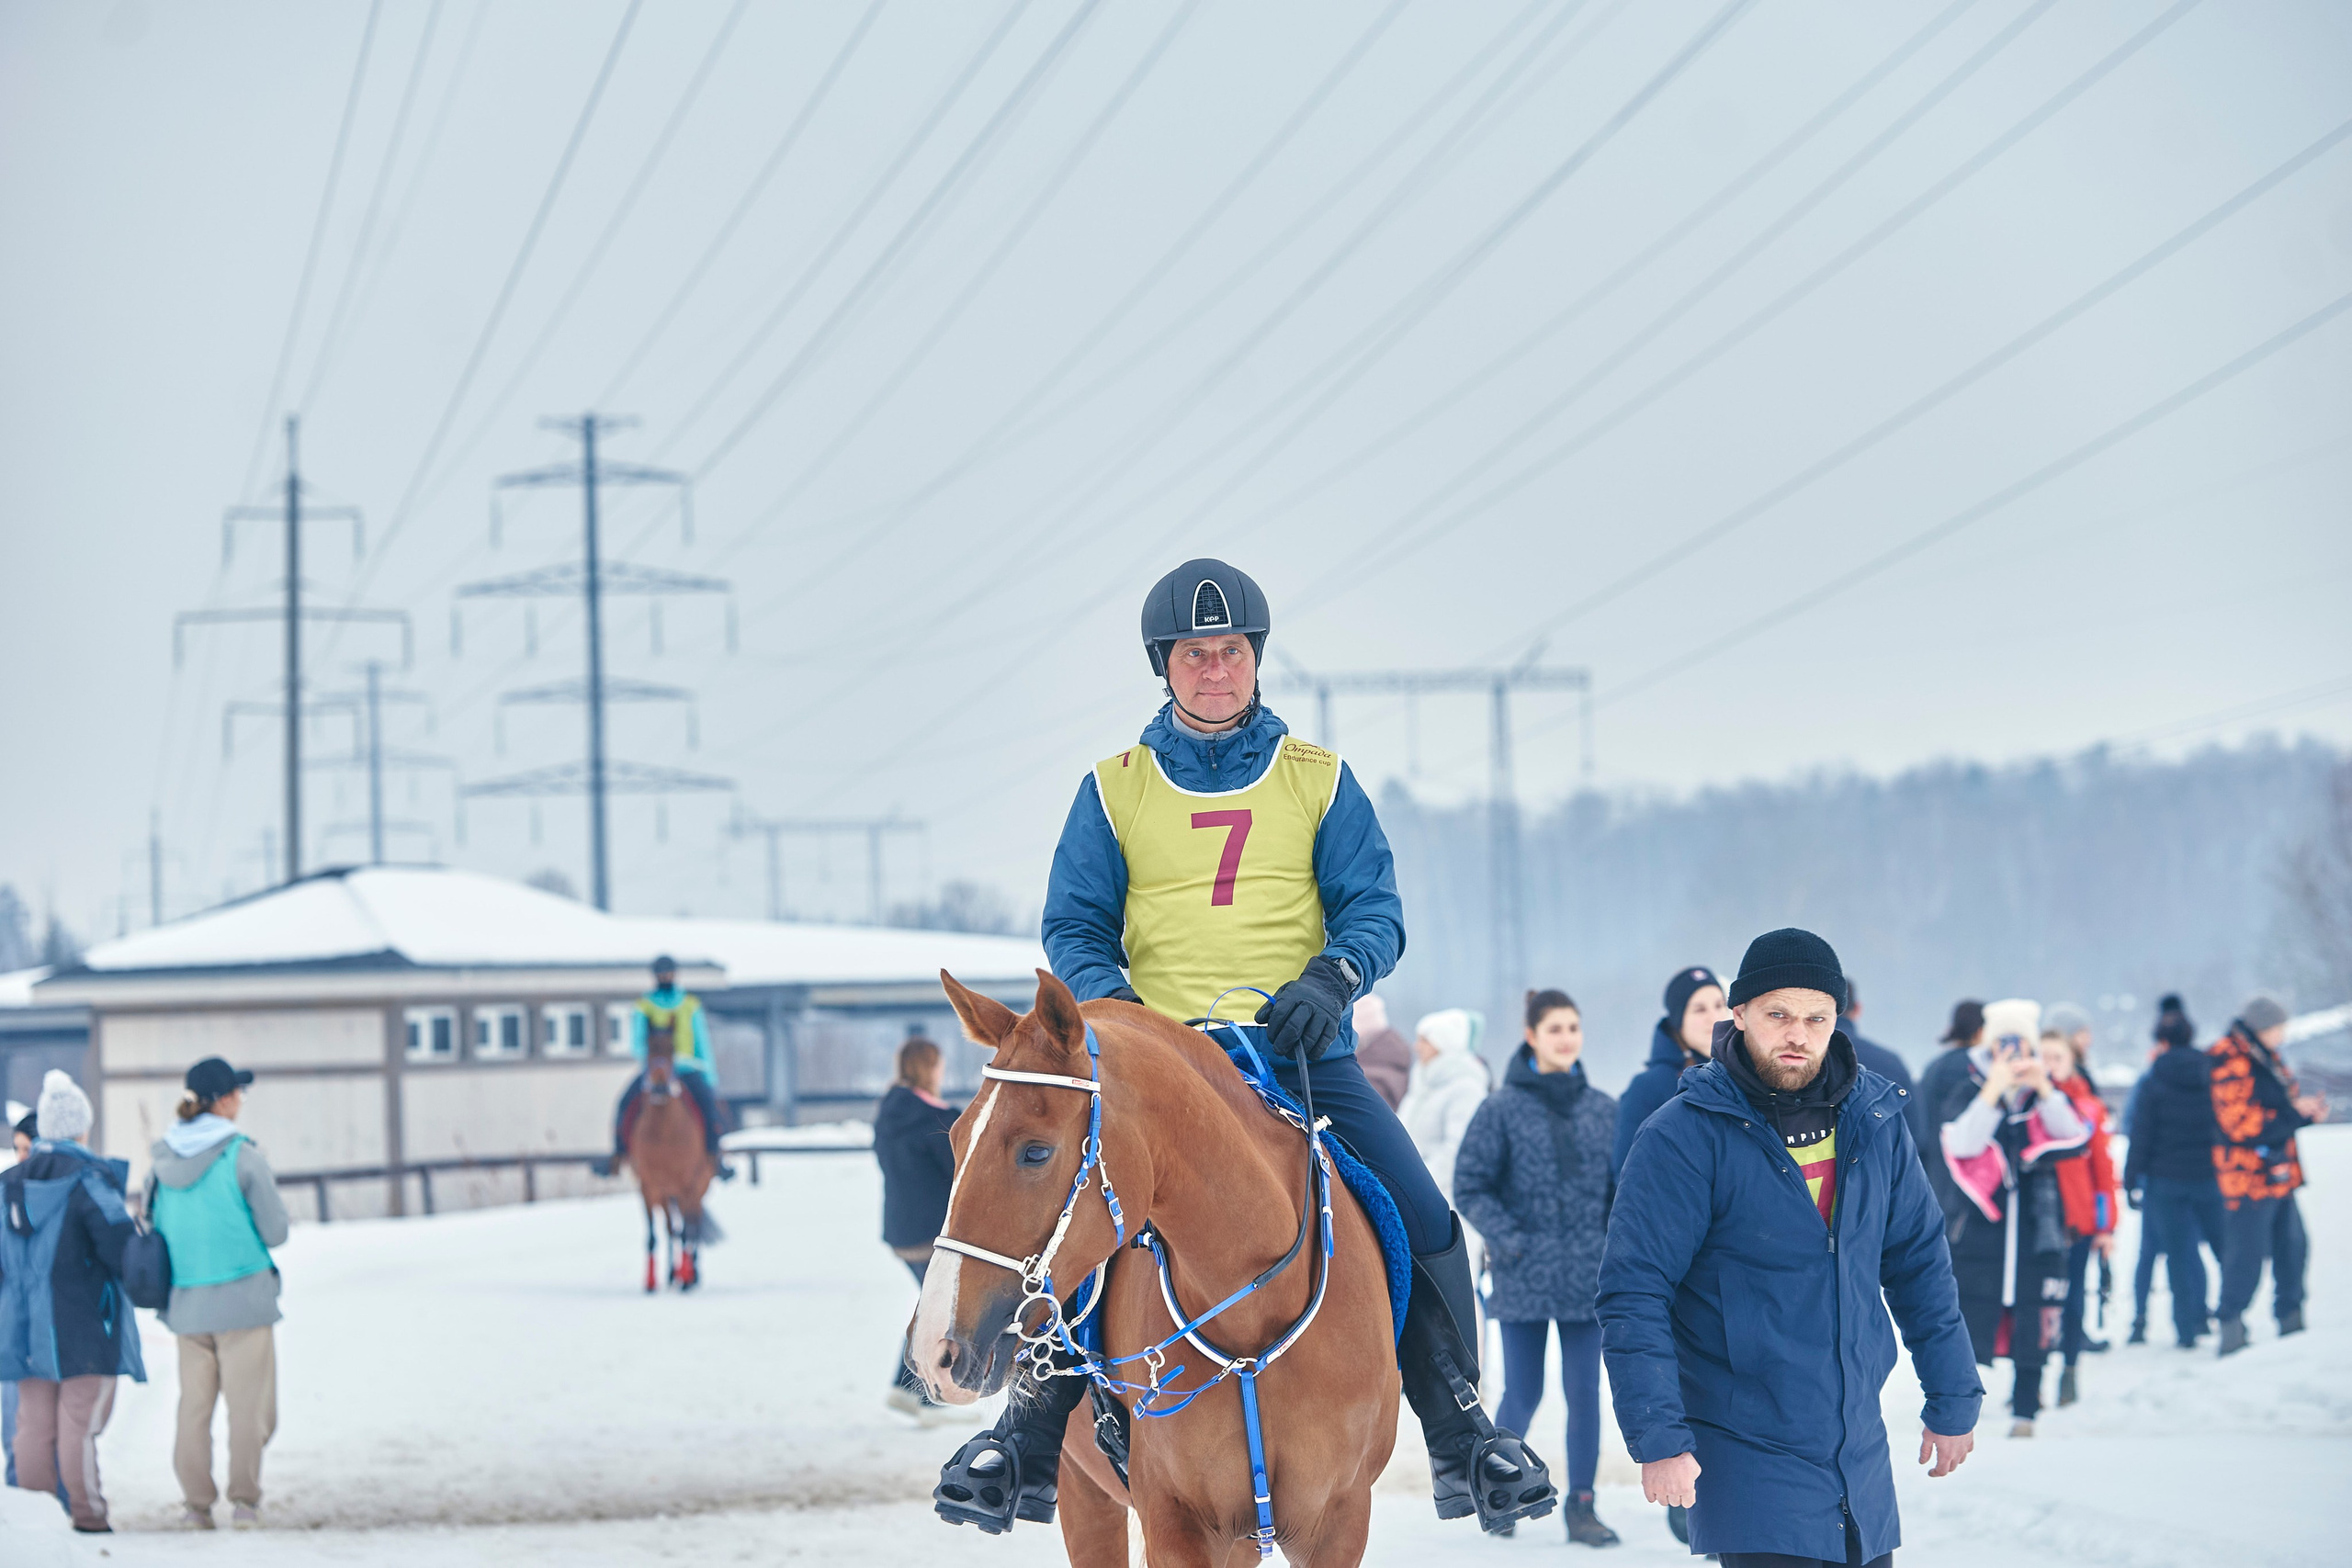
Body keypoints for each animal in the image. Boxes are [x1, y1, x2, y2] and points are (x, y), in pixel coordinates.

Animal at [627, 1044, 714, 1292]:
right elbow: (654, 1234)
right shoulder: (649, 1187)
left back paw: (691, 1274)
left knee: (693, 1226)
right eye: (649, 1048)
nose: (659, 1087)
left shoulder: (688, 1186)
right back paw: (672, 1273)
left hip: (698, 1188)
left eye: (671, 1049)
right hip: (666, 1195)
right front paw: (651, 1281)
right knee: (671, 1228)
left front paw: (686, 1277)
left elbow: (687, 1230)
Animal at [912, 970, 1400, 1567]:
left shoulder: (1338, 1524)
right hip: (1088, 1494)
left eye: (1035, 1152)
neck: (1254, 1322)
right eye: (956, 1139)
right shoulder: (1177, 1522)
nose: (934, 1350)